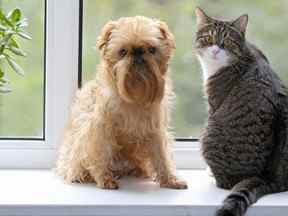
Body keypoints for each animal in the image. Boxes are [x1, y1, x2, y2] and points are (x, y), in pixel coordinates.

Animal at [55, 16, 188, 189]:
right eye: (123, 52)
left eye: (152, 49)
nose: (138, 51)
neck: (135, 96)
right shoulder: (100, 129)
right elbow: (101, 154)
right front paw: (105, 179)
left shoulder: (155, 130)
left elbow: (161, 156)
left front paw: (170, 179)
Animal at [195, 6, 288, 216]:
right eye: (209, 38)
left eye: (227, 41)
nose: (216, 50)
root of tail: (267, 178)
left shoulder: (214, 104)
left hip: (209, 133)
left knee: (225, 182)